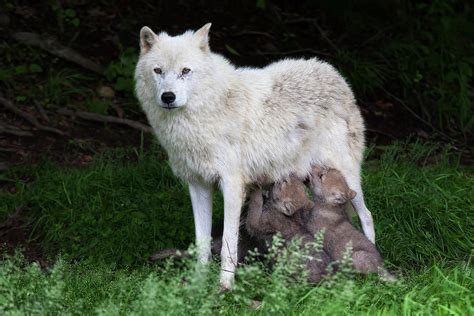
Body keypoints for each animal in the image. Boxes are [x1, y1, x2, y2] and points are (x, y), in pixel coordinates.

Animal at [134, 22, 374, 288]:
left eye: (185, 71)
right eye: (158, 70)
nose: (168, 97)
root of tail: (334, 74)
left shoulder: (231, 186)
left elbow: (228, 244)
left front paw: (225, 286)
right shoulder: (198, 185)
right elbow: (202, 243)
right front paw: (198, 283)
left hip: (347, 177)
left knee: (367, 216)